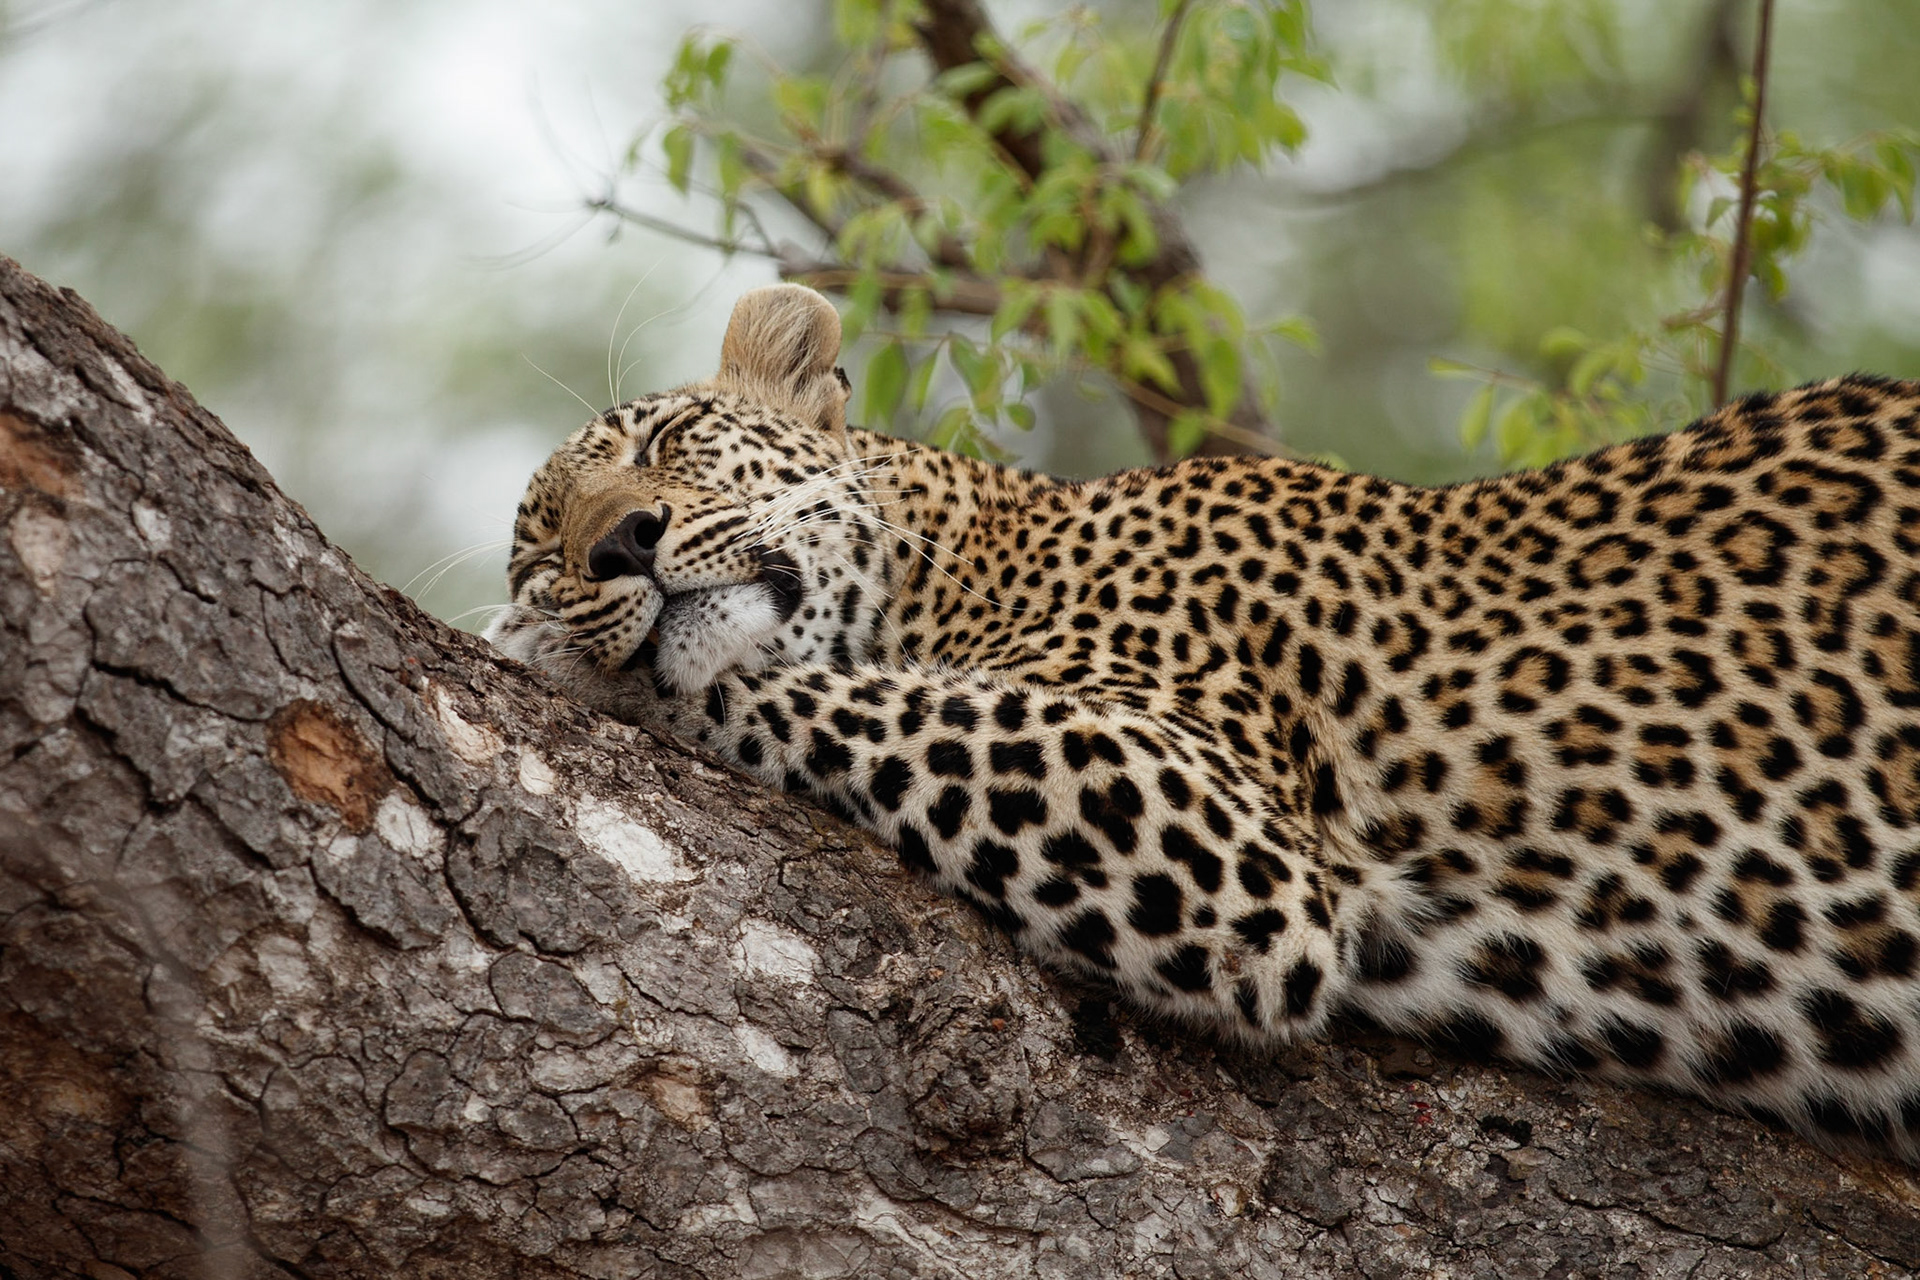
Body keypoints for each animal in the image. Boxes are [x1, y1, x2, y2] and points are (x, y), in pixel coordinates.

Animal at [487, 282, 1920, 1162]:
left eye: (669, 440)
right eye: (542, 551)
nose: (616, 545)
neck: (968, 557)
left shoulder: (1211, 822)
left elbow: (816, 689)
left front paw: (566, 664)